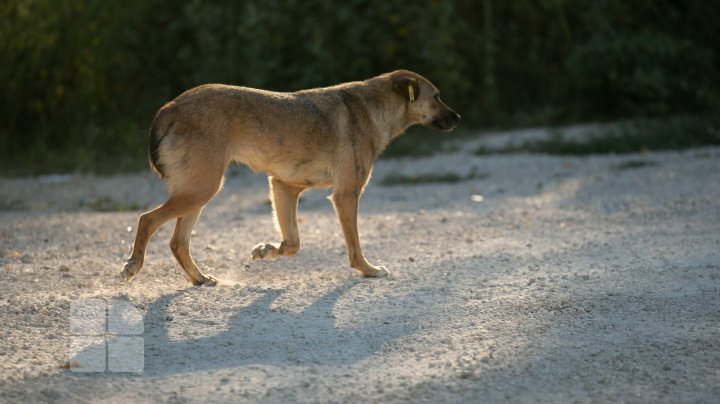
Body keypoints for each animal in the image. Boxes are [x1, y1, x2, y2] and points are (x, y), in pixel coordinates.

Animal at [122, 69, 462, 286]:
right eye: (437, 97)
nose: (458, 118)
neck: (374, 107)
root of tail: (172, 106)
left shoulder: (284, 187)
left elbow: (293, 243)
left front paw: (267, 250)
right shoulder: (345, 195)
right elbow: (354, 247)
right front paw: (368, 270)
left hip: (197, 193)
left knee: (178, 243)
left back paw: (199, 279)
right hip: (200, 190)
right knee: (146, 220)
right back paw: (133, 265)